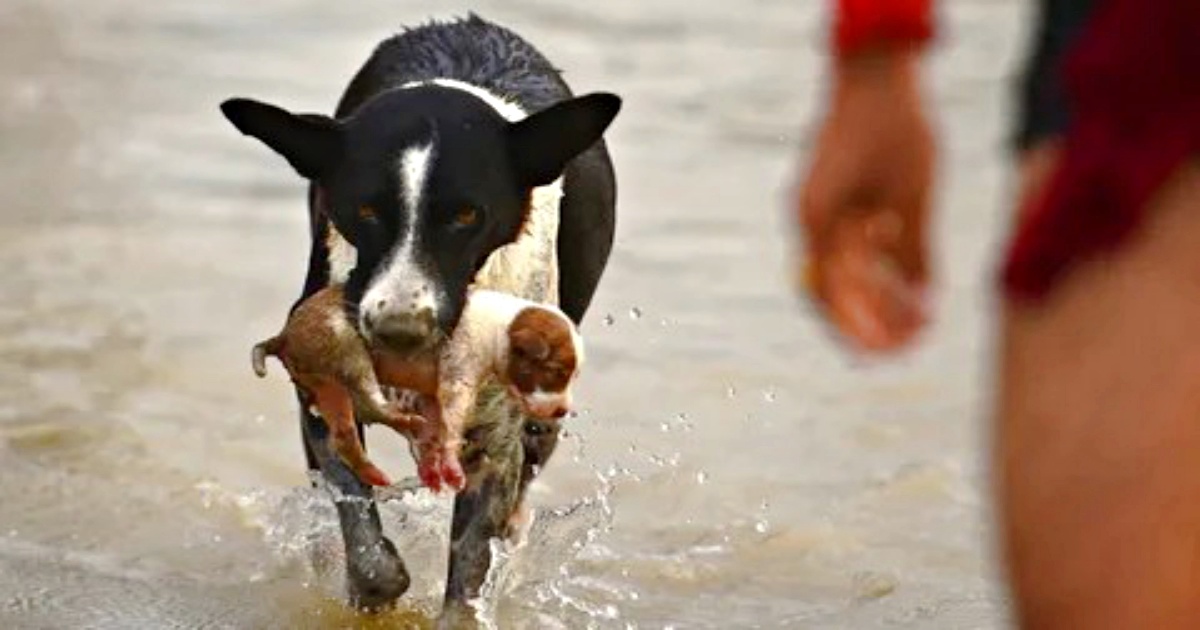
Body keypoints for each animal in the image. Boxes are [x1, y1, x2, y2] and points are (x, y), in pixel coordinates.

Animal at [220, 13, 624, 619]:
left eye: (466, 216)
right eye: (365, 210)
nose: (399, 332)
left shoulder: (495, 440)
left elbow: (470, 572)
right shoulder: (320, 396)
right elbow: (362, 533)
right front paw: (372, 586)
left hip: (543, 412)